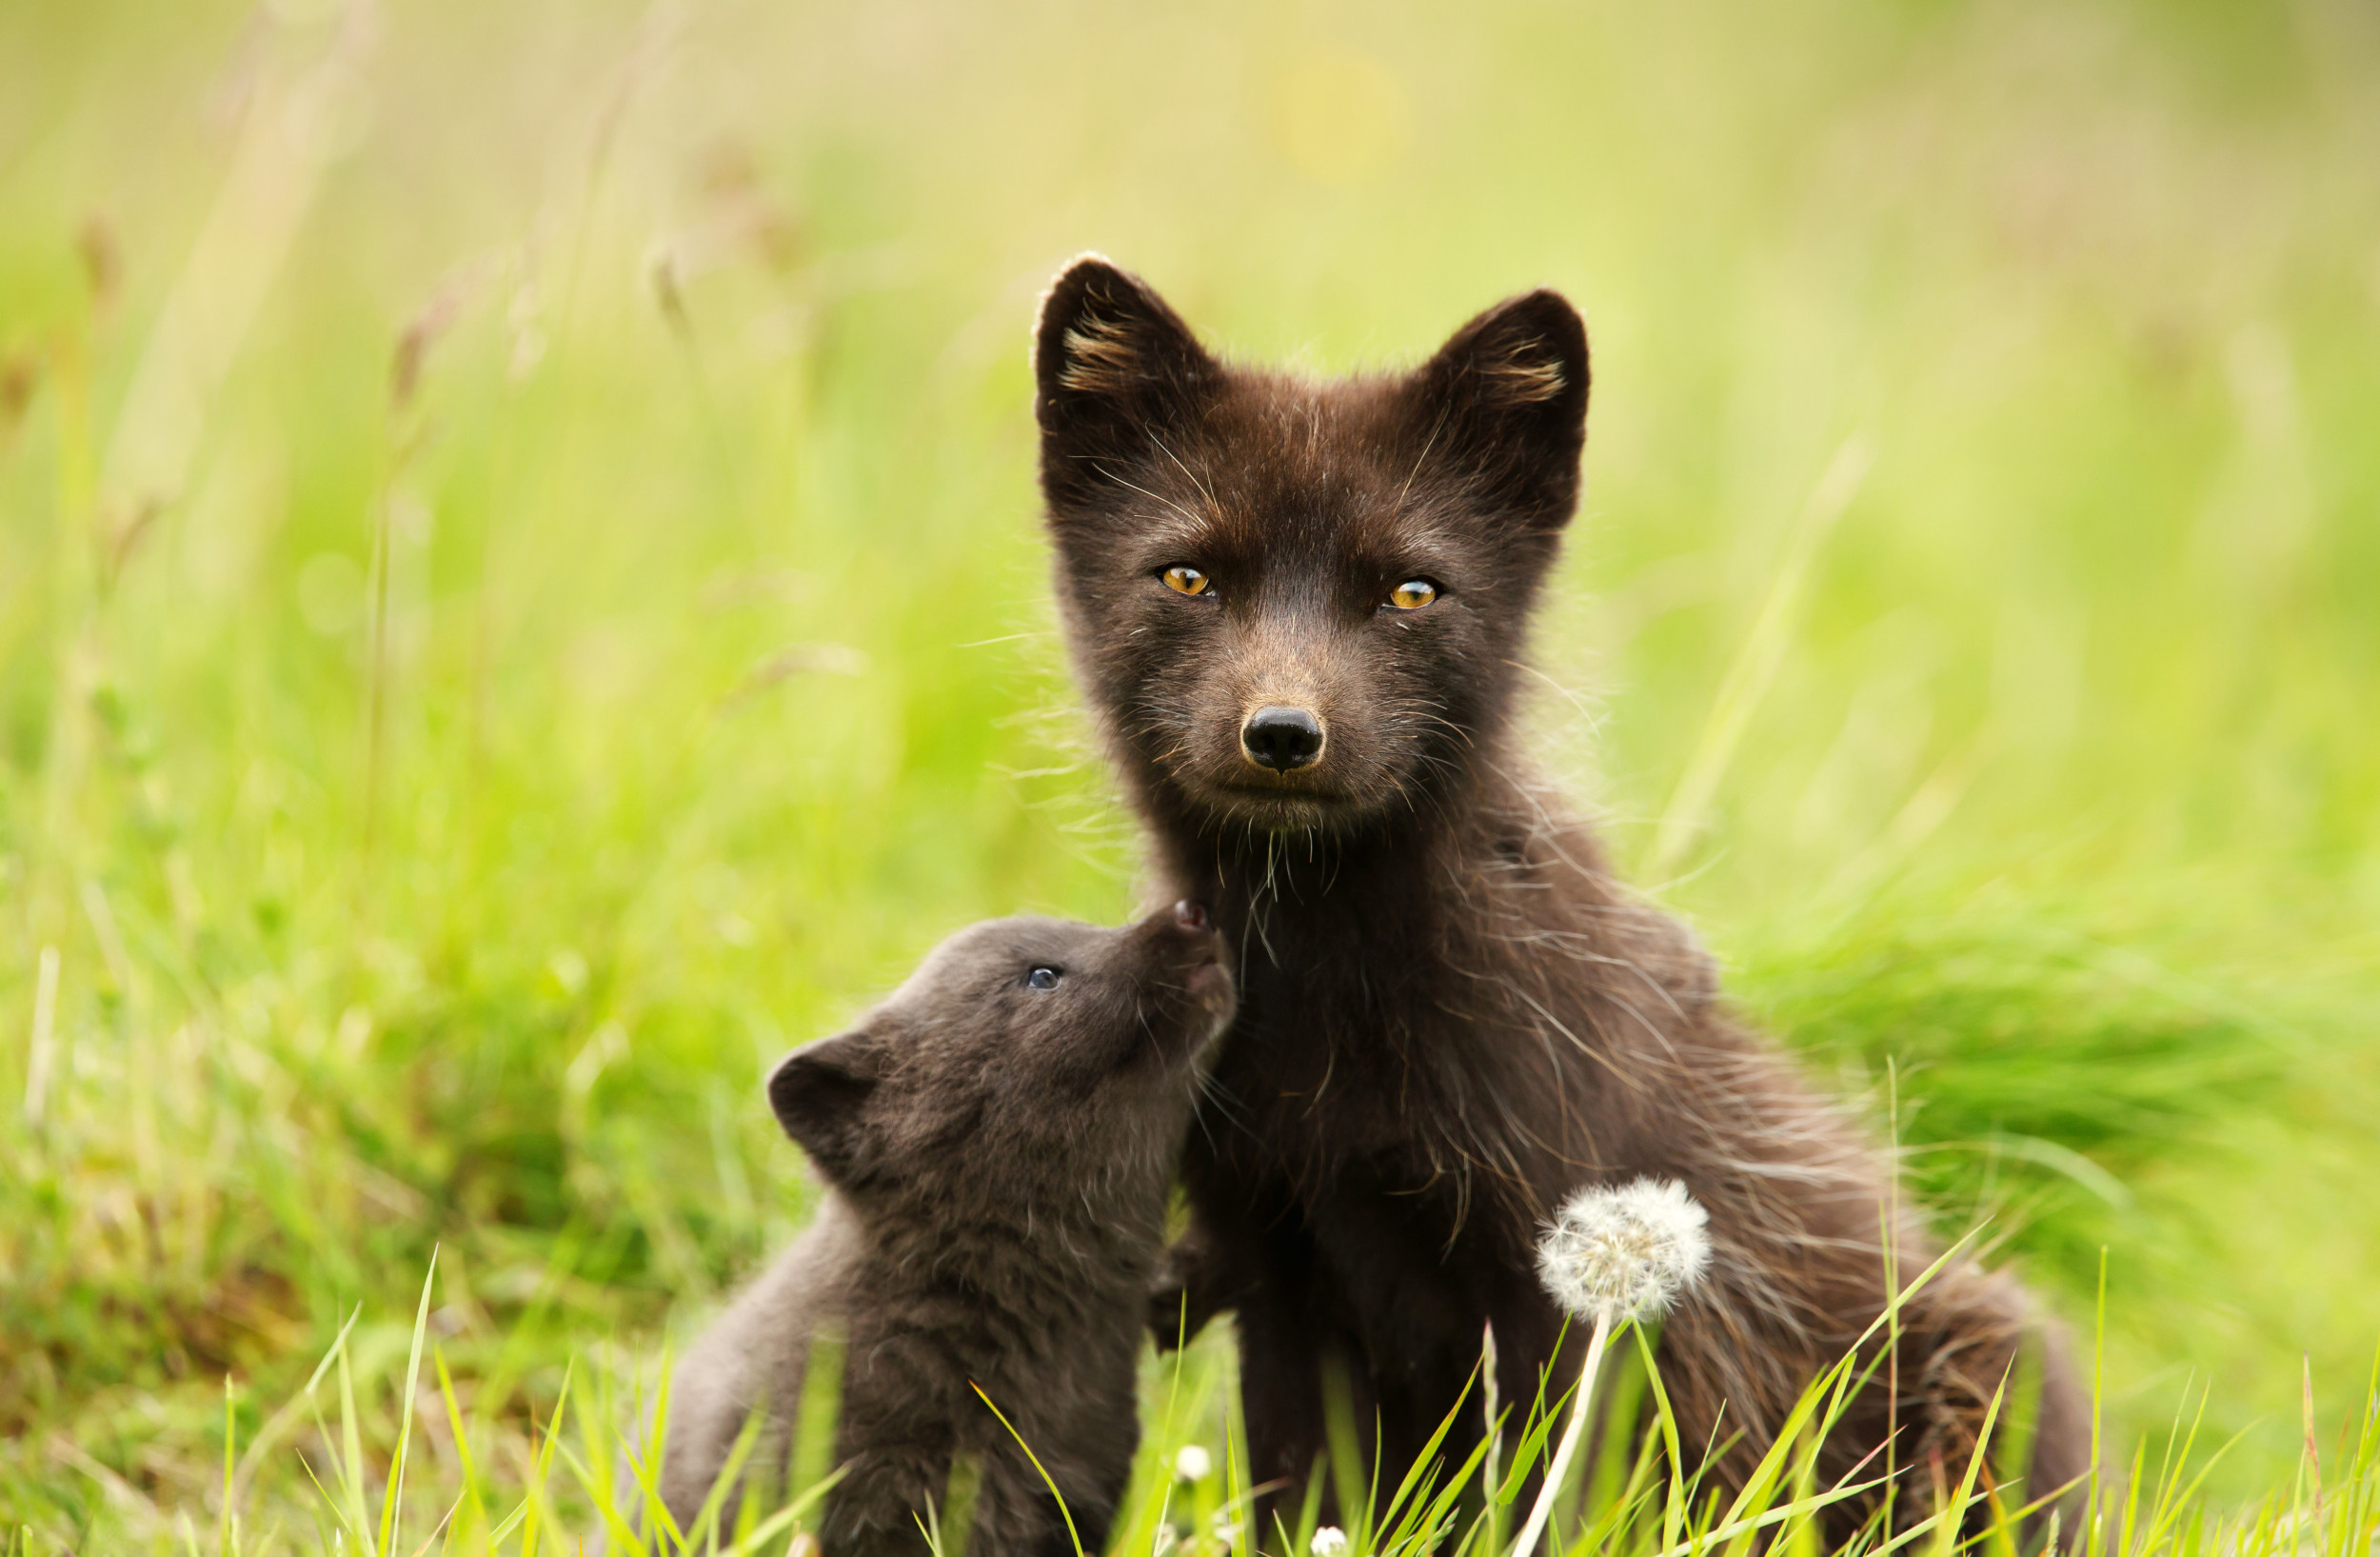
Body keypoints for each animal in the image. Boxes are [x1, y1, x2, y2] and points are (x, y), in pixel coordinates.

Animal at [1028, 255, 2088, 1545]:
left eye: (1410, 592)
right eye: (1187, 576)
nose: (1282, 733)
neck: (1326, 996)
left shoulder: (1570, 1285)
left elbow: (1557, 1501)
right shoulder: (1271, 1257)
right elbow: (1307, 1499)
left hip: (1988, 1365)